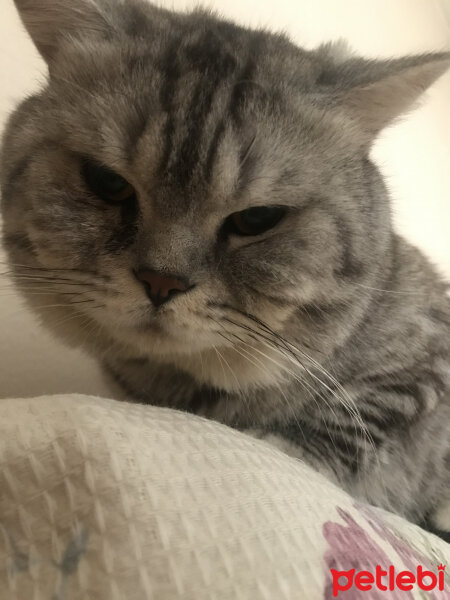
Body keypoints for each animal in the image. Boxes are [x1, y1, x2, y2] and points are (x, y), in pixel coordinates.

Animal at [0, 0, 450, 540]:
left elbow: (342, 424)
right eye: (107, 182)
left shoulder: (422, 362)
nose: (161, 282)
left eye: (257, 219)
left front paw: (279, 445)